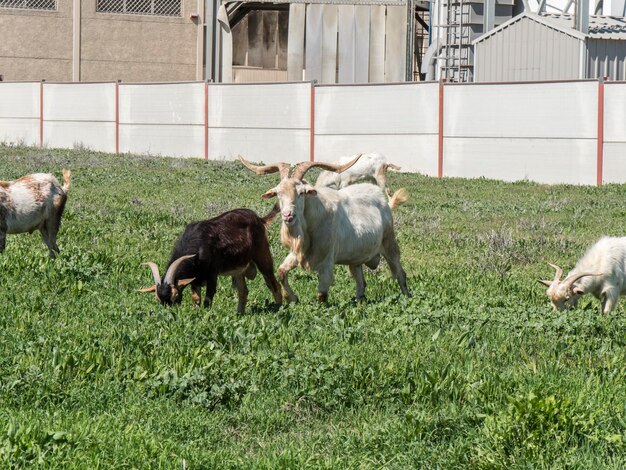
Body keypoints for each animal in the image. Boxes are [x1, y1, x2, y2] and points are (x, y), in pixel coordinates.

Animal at [140, 208, 282, 312]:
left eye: (175, 295)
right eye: (158, 299)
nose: (170, 312)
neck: (197, 244)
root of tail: (259, 219)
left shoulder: (212, 273)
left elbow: (209, 297)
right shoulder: (195, 278)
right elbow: (196, 298)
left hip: (262, 256)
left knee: (273, 283)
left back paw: (278, 308)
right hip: (239, 268)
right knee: (243, 291)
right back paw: (239, 314)